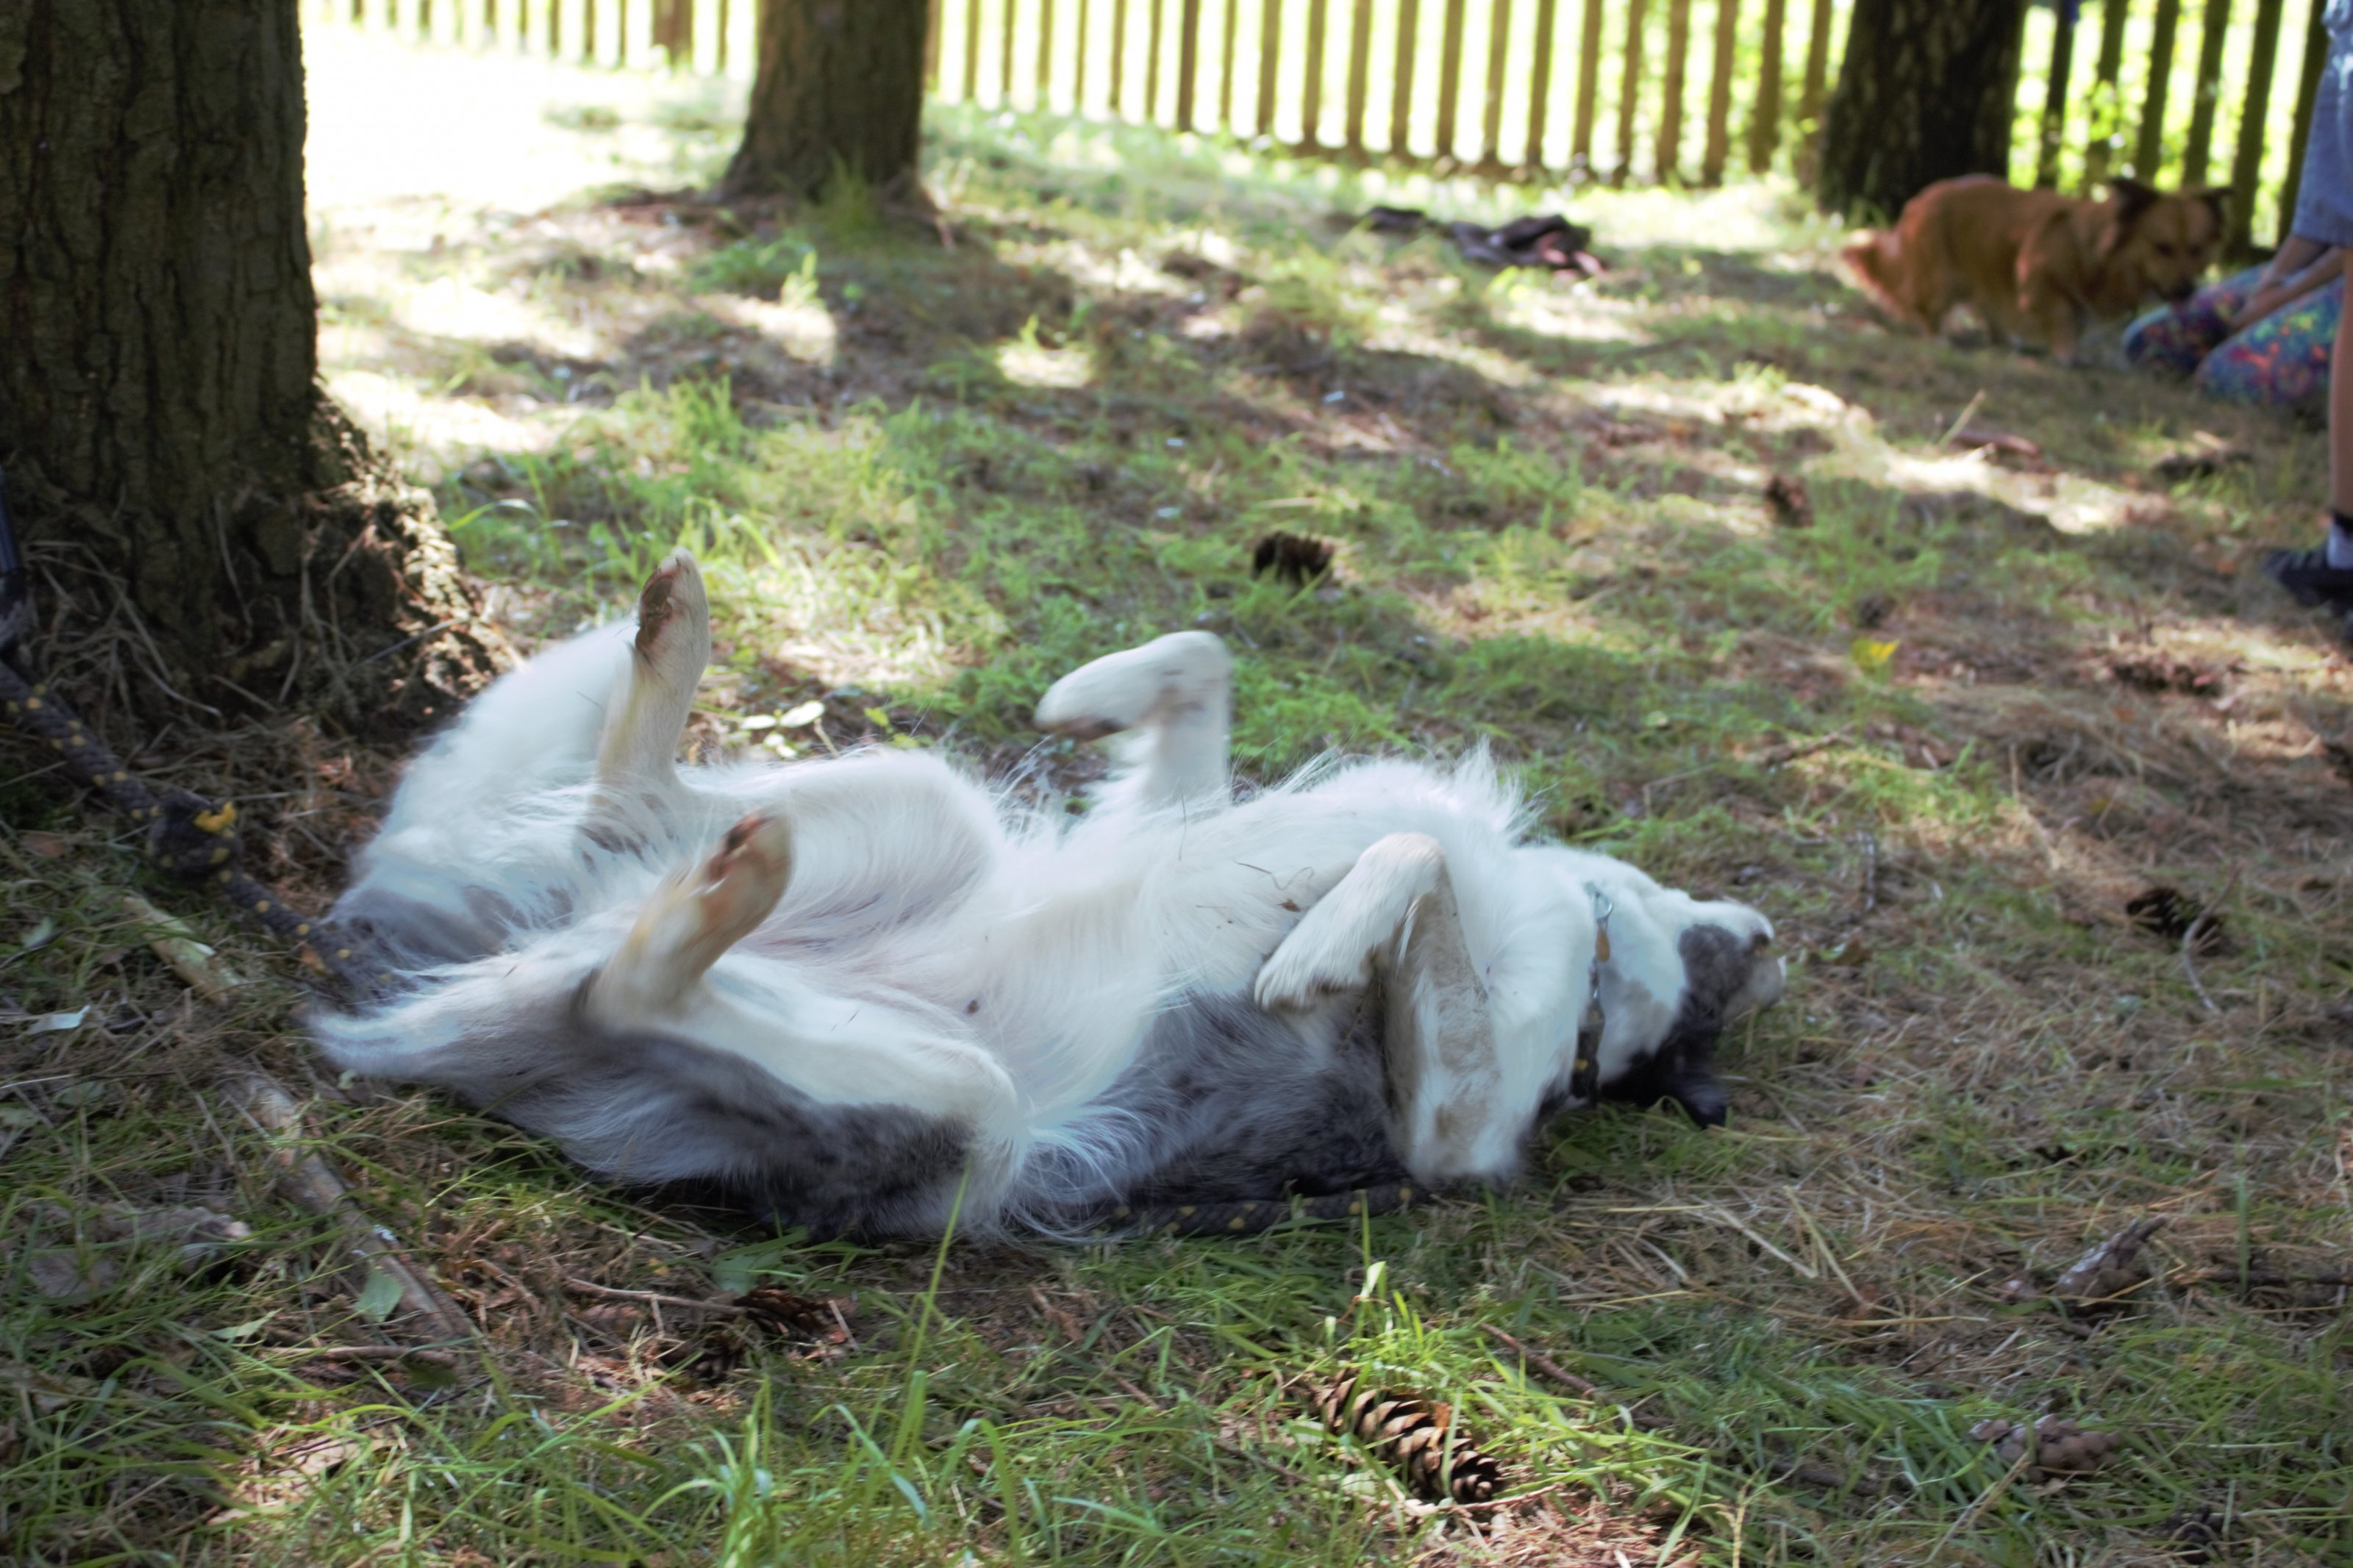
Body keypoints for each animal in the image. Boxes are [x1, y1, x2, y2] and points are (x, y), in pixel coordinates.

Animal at [311, 552, 1785, 1237]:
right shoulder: (1166, 808)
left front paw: (1321, 947)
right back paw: (676, 640)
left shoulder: (1452, 1131)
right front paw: (1084, 691)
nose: (1771, 939)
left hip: (968, 1115)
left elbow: (1413, 859)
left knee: (628, 981)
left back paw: (716, 877)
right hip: (921, 802)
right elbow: (1204, 657)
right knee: (628, 804)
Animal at [1844, 175, 2226, 361]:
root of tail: (1920, 199)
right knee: (1927, 310)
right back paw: (1939, 337)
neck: (2101, 258)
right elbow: (2063, 315)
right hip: (1943, 280)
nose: (2187, 290)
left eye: (2196, 249)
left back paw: (2005, 341)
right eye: (2163, 248)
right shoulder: (2037, 282)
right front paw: (2066, 354)